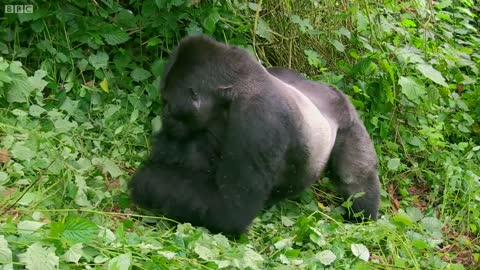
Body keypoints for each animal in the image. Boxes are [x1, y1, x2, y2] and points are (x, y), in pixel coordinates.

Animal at [129, 35, 380, 234]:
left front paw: (146, 181)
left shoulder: (260, 121)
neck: (238, 88)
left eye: (167, 103)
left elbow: (231, 208)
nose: (164, 116)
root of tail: (330, 89)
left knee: (356, 181)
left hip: (349, 118)